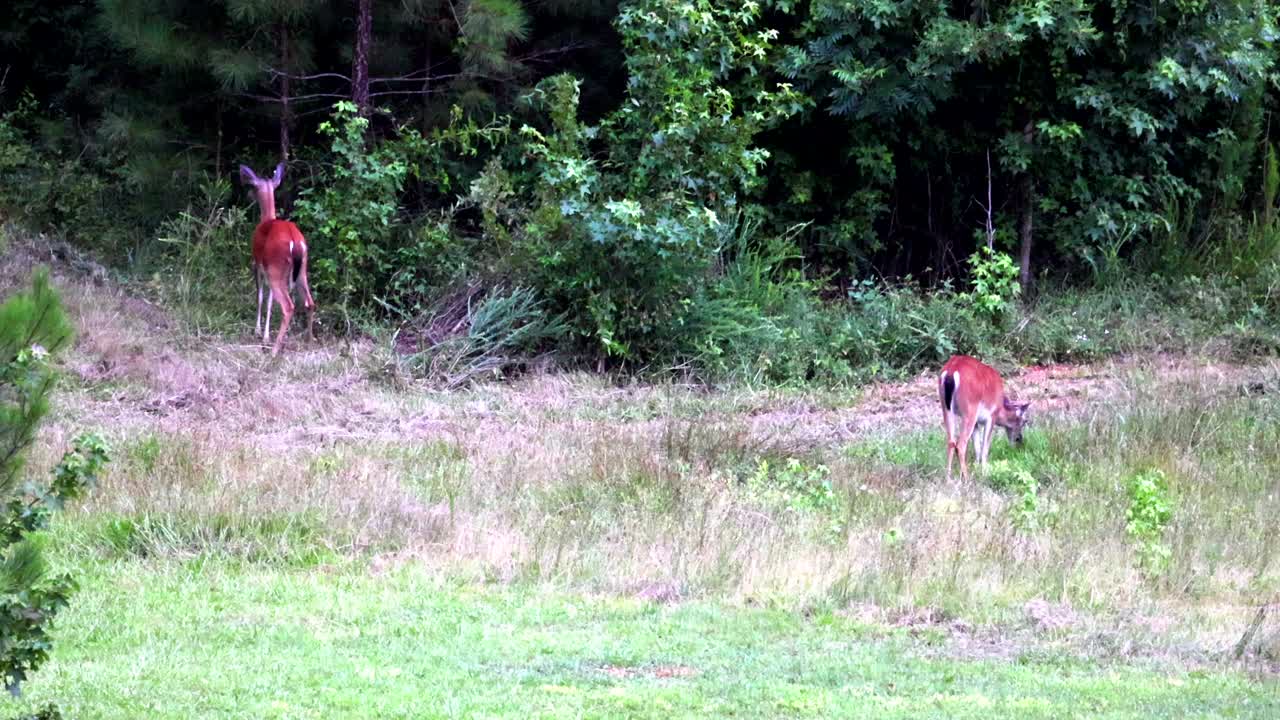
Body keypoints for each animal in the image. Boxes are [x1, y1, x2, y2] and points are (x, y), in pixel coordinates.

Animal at [239, 161, 313, 353]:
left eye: (252, 186)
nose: (247, 196)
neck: (266, 219)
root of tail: (295, 241)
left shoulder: (257, 263)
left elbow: (260, 296)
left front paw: (259, 332)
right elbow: (270, 301)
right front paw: (265, 335)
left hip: (276, 267)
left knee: (288, 306)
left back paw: (274, 351)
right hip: (300, 268)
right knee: (310, 302)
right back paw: (309, 342)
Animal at [936, 353, 1034, 481]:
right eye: (1024, 421)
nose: (1019, 440)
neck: (1001, 407)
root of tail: (951, 372)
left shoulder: (977, 422)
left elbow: (977, 446)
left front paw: (977, 468)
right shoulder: (991, 416)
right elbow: (984, 447)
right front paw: (985, 472)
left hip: (946, 407)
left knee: (951, 441)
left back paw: (948, 478)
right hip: (969, 409)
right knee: (961, 444)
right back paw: (966, 478)